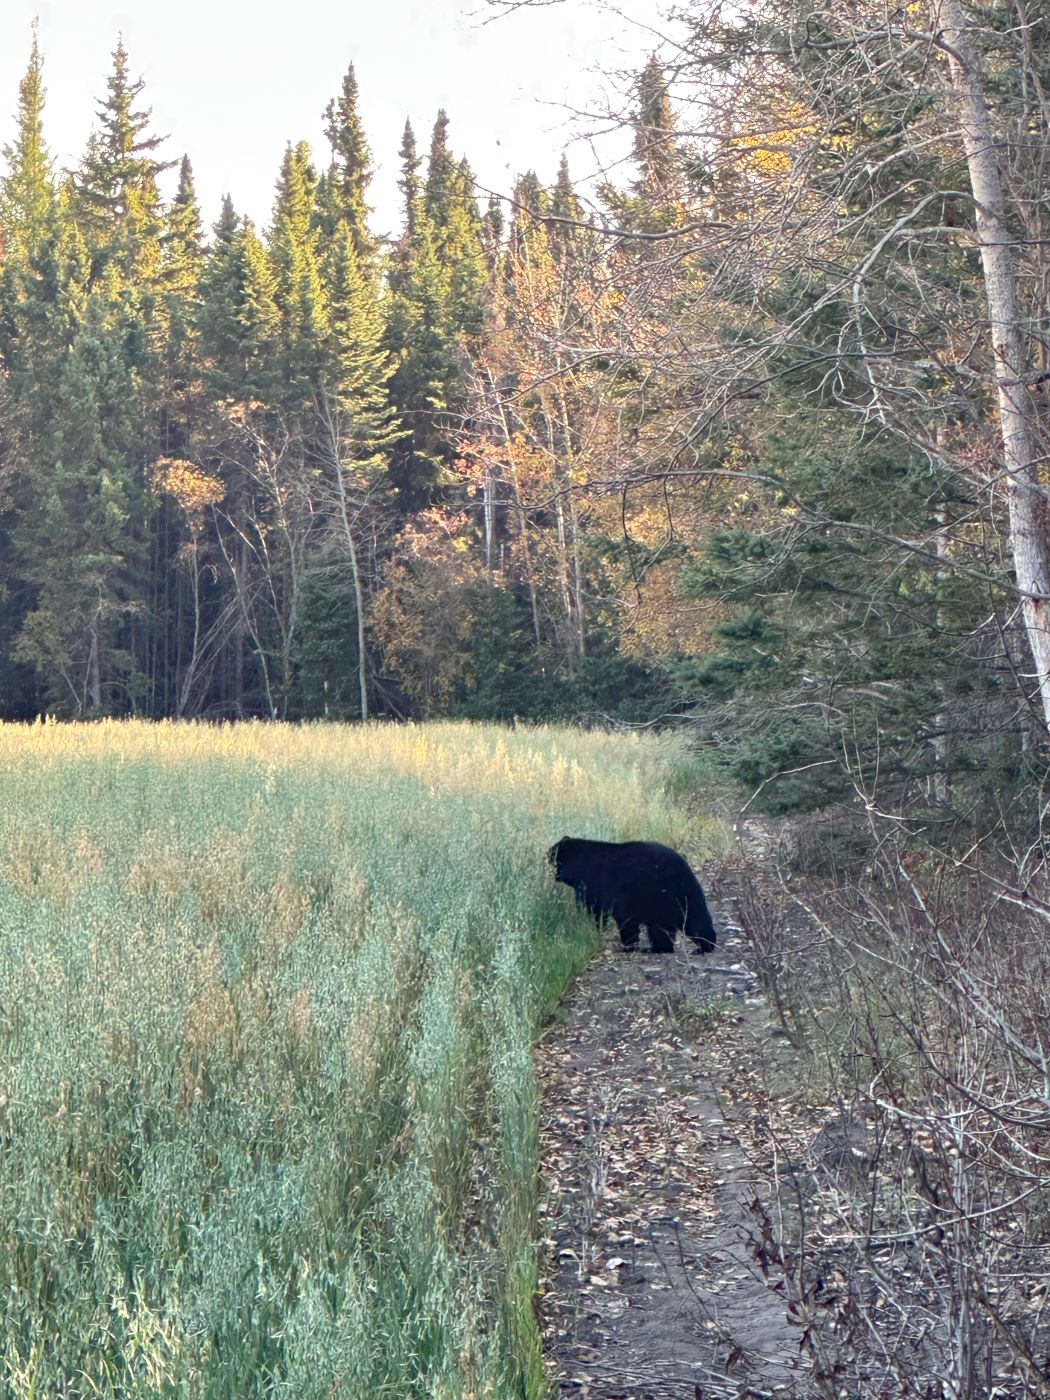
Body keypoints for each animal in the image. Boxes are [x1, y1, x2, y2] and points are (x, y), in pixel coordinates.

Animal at [547, 836, 716, 954]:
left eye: (555, 856)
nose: (547, 854)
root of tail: (681, 869)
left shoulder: (600, 886)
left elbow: (603, 912)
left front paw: (625, 943)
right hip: (686, 892)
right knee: (695, 916)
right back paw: (705, 944)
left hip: (657, 896)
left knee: (660, 927)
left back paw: (659, 948)